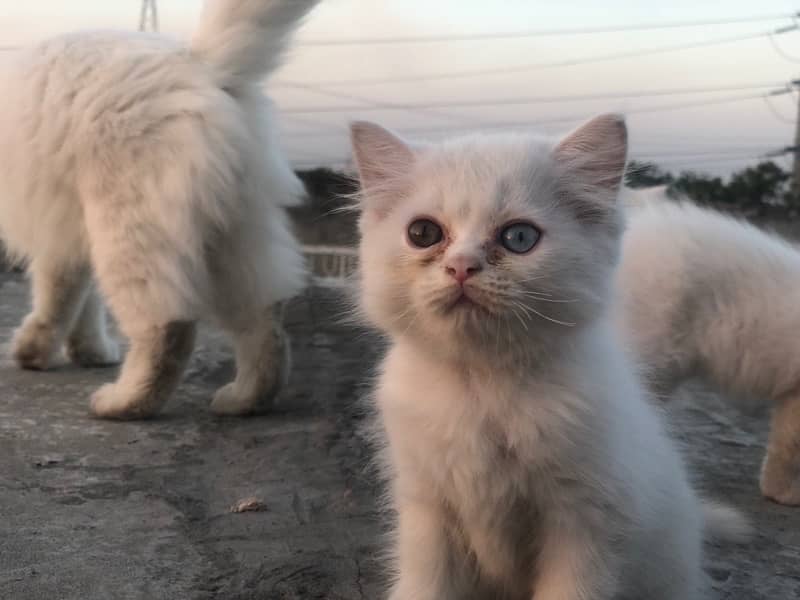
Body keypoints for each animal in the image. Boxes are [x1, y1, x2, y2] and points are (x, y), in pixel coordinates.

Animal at [0, 0, 318, 420]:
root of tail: (201, 60)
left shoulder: (63, 236)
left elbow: (58, 300)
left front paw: (38, 353)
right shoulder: (67, 234)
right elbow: (76, 301)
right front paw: (86, 351)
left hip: (131, 234)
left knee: (169, 330)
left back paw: (122, 402)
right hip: (232, 238)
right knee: (267, 327)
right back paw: (242, 400)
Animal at [346, 113, 748, 600]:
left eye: (519, 237)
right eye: (423, 234)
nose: (462, 267)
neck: (483, 383)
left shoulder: (585, 521)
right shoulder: (427, 510)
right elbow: (426, 586)